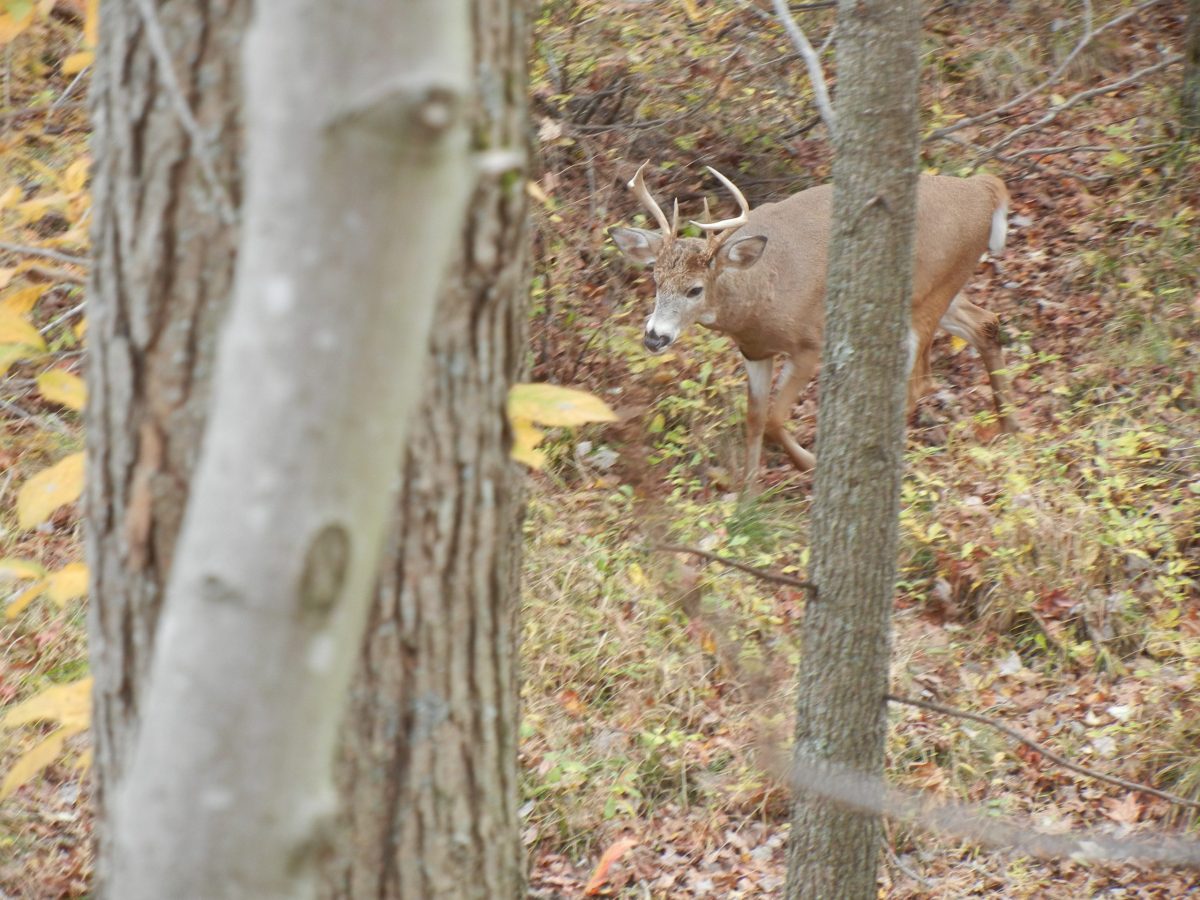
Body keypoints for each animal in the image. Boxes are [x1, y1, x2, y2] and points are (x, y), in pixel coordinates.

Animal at [614, 158, 1017, 489]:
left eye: (695, 289)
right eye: (656, 279)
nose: (654, 337)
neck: (760, 294)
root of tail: (984, 188)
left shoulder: (811, 342)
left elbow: (775, 418)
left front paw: (810, 464)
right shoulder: (754, 351)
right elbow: (755, 418)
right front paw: (747, 498)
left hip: (931, 295)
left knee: (919, 379)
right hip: (940, 290)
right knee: (985, 324)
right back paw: (1008, 428)